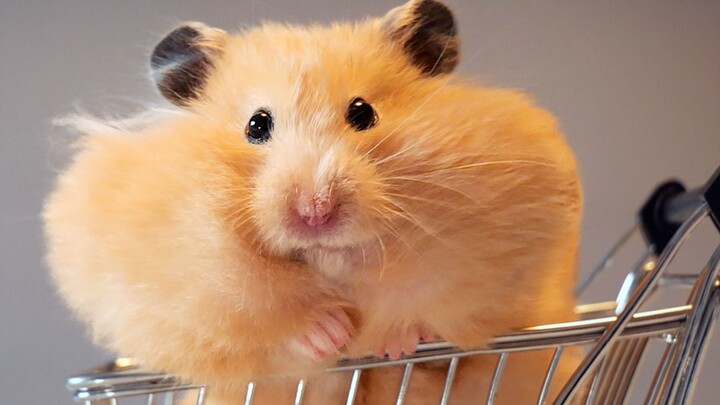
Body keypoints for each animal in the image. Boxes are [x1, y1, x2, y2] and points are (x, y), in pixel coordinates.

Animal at [44, 1, 583, 404]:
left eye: (363, 113)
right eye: (256, 124)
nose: (315, 213)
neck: (333, 263)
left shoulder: (496, 272)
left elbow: (435, 316)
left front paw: (394, 343)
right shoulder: (179, 292)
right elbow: (264, 319)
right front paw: (331, 333)